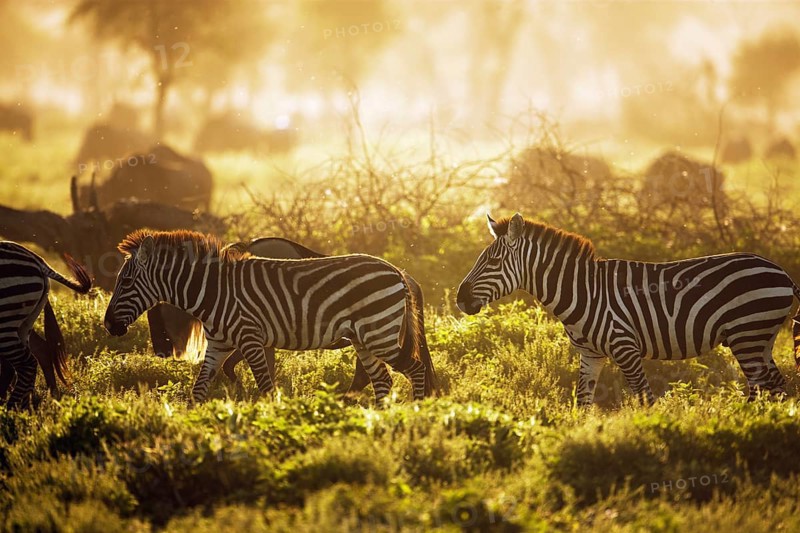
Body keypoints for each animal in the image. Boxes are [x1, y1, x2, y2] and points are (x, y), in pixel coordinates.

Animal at [0, 242, 92, 408]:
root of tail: (38, 260)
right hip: (24, 324)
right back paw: (28, 406)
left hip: (6, 320)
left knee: (25, 364)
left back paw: (12, 409)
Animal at [103, 230, 426, 404]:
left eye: (126, 282)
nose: (108, 325)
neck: (214, 291)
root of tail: (397, 270)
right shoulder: (218, 345)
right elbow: (198, 390)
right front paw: (189, 431)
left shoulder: (251, 339)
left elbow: (267, 387)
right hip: (364, 340)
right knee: (382, 380)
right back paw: (379, 423)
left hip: (378, 334)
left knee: (416, 370)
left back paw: (418, 415)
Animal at [456, 213, 800, 405]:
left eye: (493, 262)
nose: (459, 299)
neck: (582, 291)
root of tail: (782, 272)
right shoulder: (590, 355)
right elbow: (582, 402)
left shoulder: (625, 347)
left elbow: (646, 399)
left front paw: (653, 439)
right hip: (761, 337)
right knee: (777, 387)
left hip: (747, 334)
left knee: (761, 389)